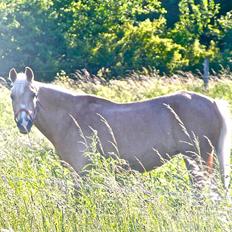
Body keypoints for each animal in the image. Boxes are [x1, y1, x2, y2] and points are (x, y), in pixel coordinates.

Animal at [8, 67, 231, 194]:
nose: (23, 123)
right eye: (12, 95)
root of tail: (212, 102)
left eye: (33, 94)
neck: (71, 117)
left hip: (198, 158)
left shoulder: (81, 170)